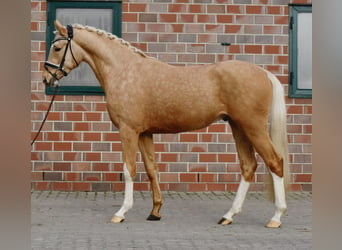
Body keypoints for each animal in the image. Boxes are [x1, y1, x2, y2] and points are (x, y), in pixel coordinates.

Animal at [42, 21, 288, 229]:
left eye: (57, 47)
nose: (46, 77)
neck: (124, 71)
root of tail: (264, 73)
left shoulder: (128, 130)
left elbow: (129, 169)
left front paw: (121, 212)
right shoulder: (144, 133)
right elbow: (152, 169)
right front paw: (155, 212)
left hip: (253, 127)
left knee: (275, 162)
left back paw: (276, 217)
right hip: (239, 127)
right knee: (248, 166)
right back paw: (228, 215)